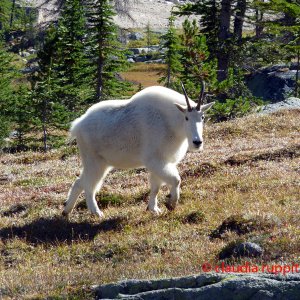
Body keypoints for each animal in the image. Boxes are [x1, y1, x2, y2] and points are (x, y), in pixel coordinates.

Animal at [62, 82, 213, 218]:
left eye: (202, 117)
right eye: (186, 117)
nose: (197, 142)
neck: (170, 123)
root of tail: (78, 125)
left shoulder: (162, 161)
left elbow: (156, 187)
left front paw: (153, 209)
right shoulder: (154, 160)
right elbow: (176, 180)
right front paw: (171, 203)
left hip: (100, 163)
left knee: (79, 182)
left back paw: (66, 211)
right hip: (94, 161)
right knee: (89, 186)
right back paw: (96, 212)